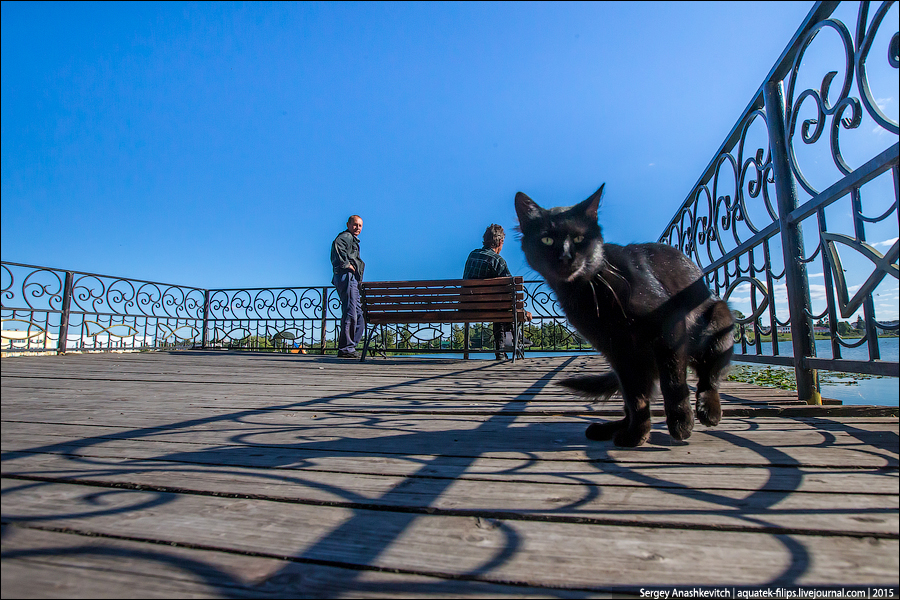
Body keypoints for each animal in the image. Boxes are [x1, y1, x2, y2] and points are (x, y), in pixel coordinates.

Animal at [516, 186, 736, 446]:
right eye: (547, 239)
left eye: (580, 239)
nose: (566, 257)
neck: (591, 290)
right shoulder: (618, 350)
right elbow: (635, 397)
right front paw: (637, 434)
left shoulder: (668, 327)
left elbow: (672, 381)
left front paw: (681, 422)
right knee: (631, 400)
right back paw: (612, 428)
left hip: (718, 319)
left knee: (709, 376)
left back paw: (708, 409)